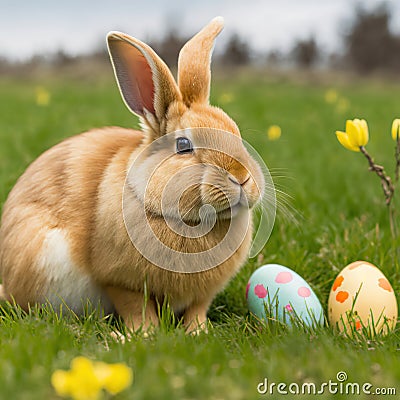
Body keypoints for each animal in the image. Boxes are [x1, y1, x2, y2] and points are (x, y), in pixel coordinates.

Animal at [0, 17, 266, 332]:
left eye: (235, 130)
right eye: (183, 145)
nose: (242, 177)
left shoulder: (204, 293)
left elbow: (197, 309)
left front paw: (198, 333)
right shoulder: (121, 282)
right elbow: (137, 309)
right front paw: (144, 335)